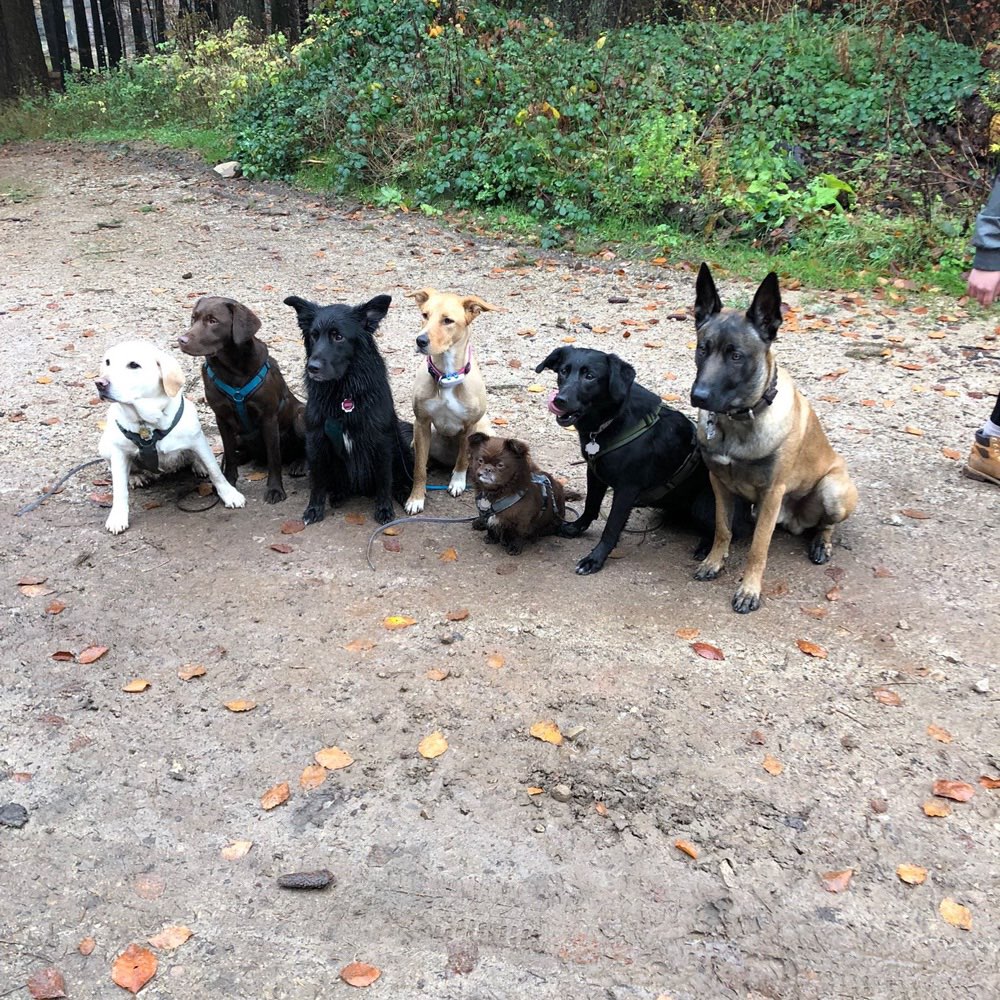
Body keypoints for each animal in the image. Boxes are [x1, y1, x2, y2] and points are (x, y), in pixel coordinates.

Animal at [286, 292, 414, 528]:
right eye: (313, 336)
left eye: (338, 337)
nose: (312, 367)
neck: (343, 394)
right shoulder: (316, 439)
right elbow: (317, 482)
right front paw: (314, 509)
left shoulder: (382, 441)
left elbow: (384, 480)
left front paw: (384, 508)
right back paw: (338, 494)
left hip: (401, 446)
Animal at [404, 286, 500, 512]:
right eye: (425, 315)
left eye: (447, 320)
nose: (420, 340)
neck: (447, 375)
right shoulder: (421, 423)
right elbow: (418, 468)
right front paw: (416, 498)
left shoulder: (470, 426)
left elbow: (463, 459)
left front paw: (457, 482)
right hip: (421, 437)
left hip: (485, 432)